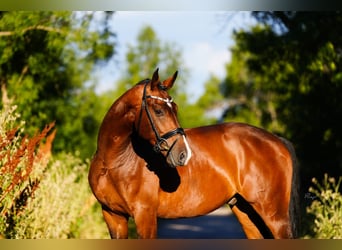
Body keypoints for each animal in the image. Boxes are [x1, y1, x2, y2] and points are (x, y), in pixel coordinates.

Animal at [89, 68, 300, 238]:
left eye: (174, 108)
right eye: (158, 110)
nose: (183, 154)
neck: (114, 162)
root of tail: (276, 140)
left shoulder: (145, 217)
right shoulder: (113, 216)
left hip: (274, 216)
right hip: (245, 210)